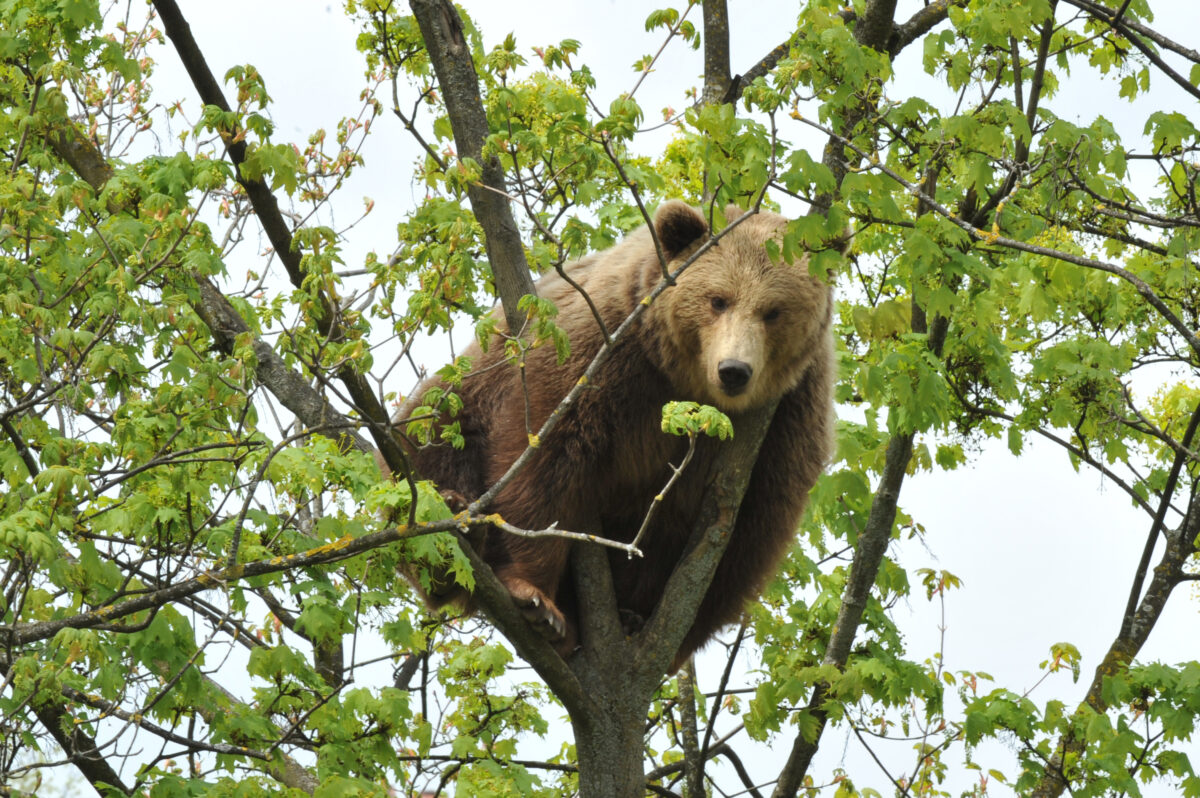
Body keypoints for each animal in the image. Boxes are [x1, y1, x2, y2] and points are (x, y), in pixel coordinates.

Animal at [393, 199, 835, 667]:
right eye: (718, 300)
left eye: (773, 311)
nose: (734, 370)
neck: (687, 384)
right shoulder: (605, 347)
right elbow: (544, 458)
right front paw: (536, 599)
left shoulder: (786, 419)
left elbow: (744, 537)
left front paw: (646, 621)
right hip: (469, 386)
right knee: (432, 438)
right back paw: (455, 531)